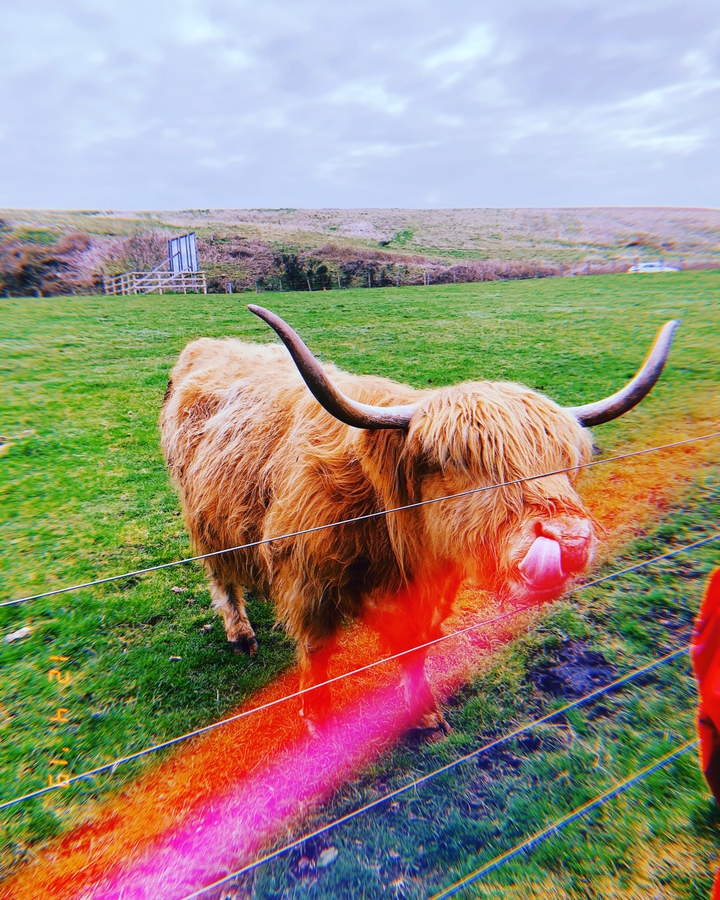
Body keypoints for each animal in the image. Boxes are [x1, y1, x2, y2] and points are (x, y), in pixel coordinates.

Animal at [160, 306, 678, 733]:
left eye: (566, 462)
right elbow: (317, 652)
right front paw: (317, 719)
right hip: (205, 520)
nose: (568, 540)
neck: (384, 517)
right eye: (462, 463)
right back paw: (241, 634)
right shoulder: (309, 583)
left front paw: (425, 713)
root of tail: (205, 346)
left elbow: (415, 646)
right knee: (222, 577)